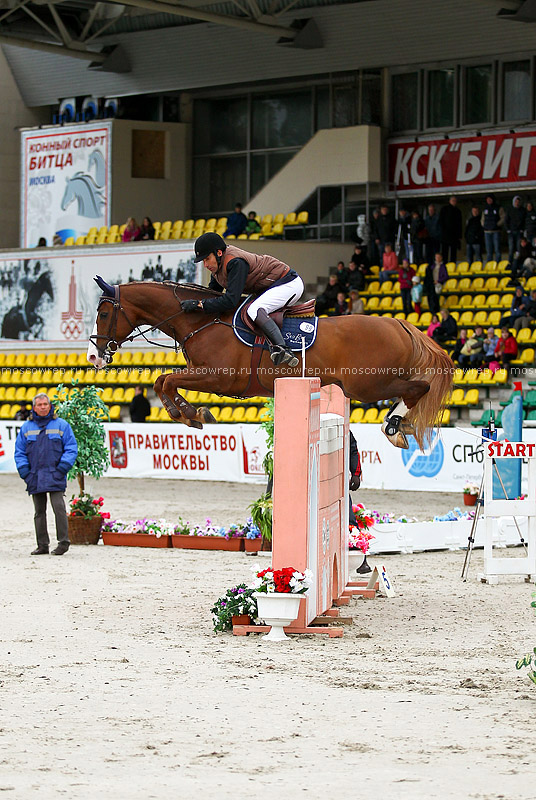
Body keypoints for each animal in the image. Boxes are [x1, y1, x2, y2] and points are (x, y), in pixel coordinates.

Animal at [87, 276, 452, 450]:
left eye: (103, 313)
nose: (93, 355)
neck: (201, 320)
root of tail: (400, 323)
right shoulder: (203, 375)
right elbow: (163, 381)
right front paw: (191, 414)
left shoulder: (217, 377)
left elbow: (167, 380)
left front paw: (188, 413)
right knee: (415, 389)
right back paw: (398, 426)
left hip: (367, 384)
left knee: (418, 387)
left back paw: (394, 426)